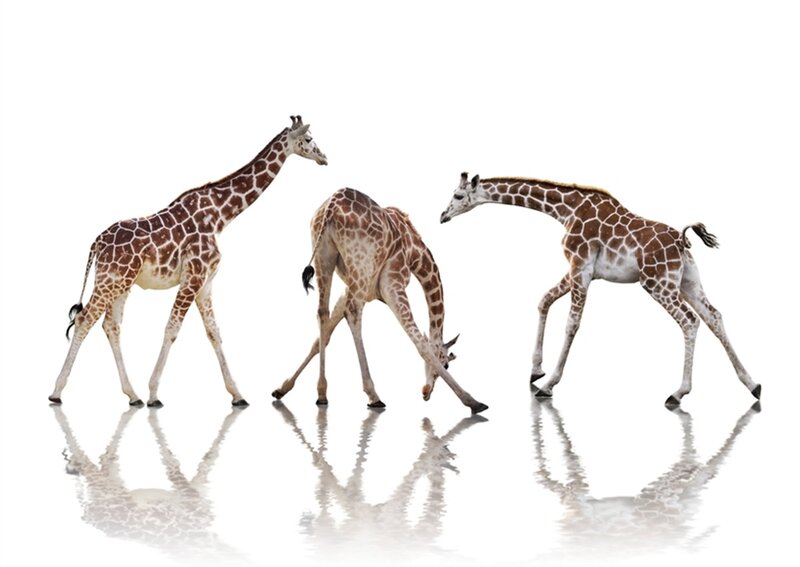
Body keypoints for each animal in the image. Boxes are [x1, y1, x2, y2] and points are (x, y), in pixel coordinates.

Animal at [49, 116, 327, 407]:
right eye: (309, 139)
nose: (324, 157)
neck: (221, 216)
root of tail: (96, 243)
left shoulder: (206, 282)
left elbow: (214, 332)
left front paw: (237, 395)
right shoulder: (193, 275)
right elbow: (172, 328)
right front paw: (154, 393)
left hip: (122, 282)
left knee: (110, 325)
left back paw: (132, 395)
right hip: (111, 279)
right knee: (85, 319)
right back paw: (57, 392)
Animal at [272, 188, 488, 414]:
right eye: (446, 364)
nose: (425, 392)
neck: (417, 256)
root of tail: (331, 207)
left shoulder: (352, 288)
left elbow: (324, 335)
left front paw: (283, 388)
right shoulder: (393, 283)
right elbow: (418, 341)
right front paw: (473, 401)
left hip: (325, 257)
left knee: (322, 312)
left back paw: (322, 395)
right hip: (360, 264)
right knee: (353, 312)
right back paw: (373, 395)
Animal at [439, 173, 760, 406]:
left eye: (458, 196)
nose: (443, 215)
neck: (565, 210)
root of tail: (682, 241)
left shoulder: (580, 267)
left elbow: (572, 324)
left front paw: (548, 384)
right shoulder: (581, 271)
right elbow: (544, 300)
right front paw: (535, 370)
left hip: (657, 283)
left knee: (690, 321)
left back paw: (678, 392)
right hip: (688, 282)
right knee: (714, 316)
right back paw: (753, 384)